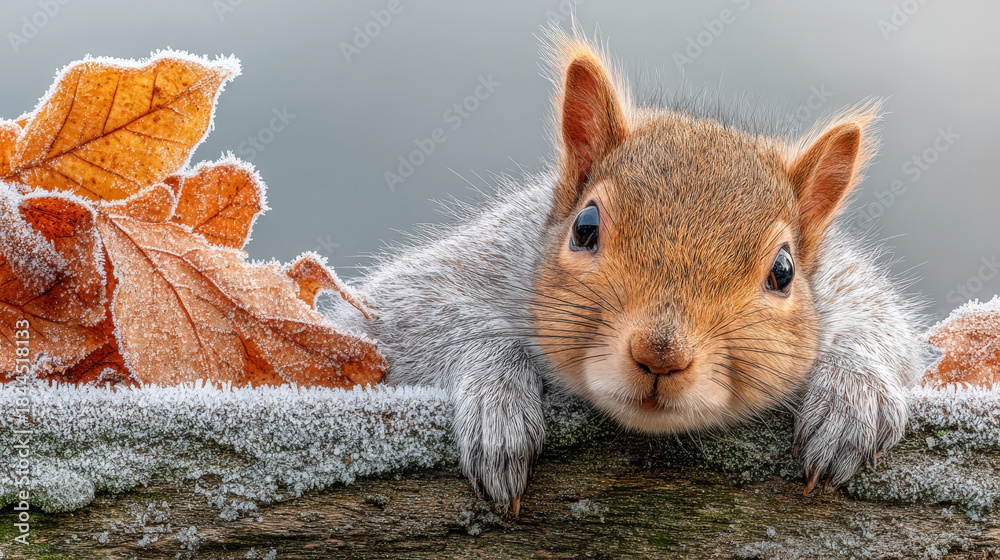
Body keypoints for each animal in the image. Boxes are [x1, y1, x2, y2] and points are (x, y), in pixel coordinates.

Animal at [323, 32, 927, 515]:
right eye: (585, 227)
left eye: (783, 271)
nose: (661, 354)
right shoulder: (464, 270)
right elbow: (400, 323)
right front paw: (499, 402)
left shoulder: (847, 286)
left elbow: (882, 329)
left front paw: (854, 399)